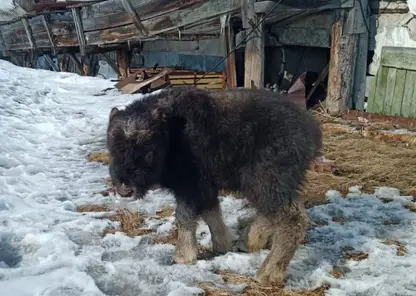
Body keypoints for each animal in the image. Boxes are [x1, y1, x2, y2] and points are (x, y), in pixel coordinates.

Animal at [105, 86, 324, 286]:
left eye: (147, 149)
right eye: (113, 147)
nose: (125, 189)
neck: (171, 133)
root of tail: (311, 130)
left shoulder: (190, 185)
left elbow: (185, 216)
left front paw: (183, 256)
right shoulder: (203, 186)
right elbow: (210, 210)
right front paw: (222, 243)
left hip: (265, 181)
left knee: (291, 219)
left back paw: (268, 273)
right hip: (271, 185)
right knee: (272, 213)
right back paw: (249, 241)